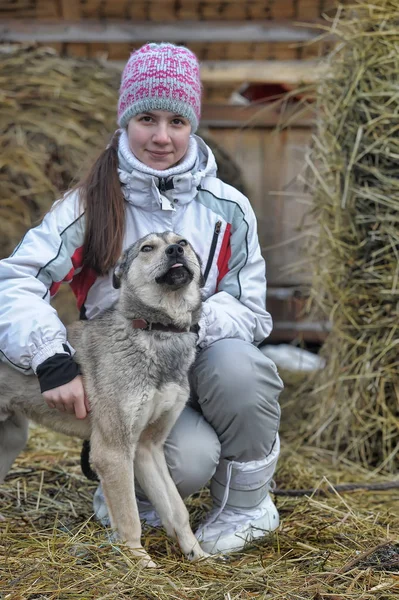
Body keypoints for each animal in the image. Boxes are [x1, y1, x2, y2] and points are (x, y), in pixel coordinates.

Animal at [0, 231, 209, 568]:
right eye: (147, 248)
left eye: (183, 242)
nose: (175, 251)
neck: (156, 332)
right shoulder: (112, 451)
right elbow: (129, 517)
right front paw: (139, 561)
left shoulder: (147, 448)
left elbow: (177, 509)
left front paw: (197, 554)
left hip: (11, 440)